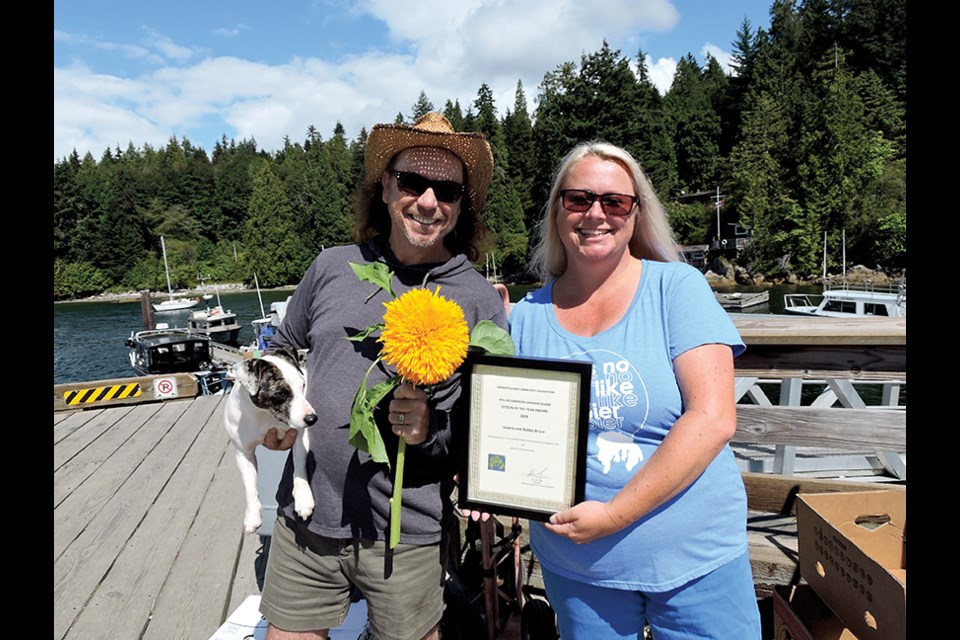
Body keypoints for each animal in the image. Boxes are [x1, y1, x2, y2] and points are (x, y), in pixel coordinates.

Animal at [223, 348, 316, 532]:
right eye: (281, 393)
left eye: (302, 385)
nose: (312, 418)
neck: (264, 415)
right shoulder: (243, 454)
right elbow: (249, 486)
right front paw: (252, 515)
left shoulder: (299, 437)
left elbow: (300, 468)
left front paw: (303, 499)